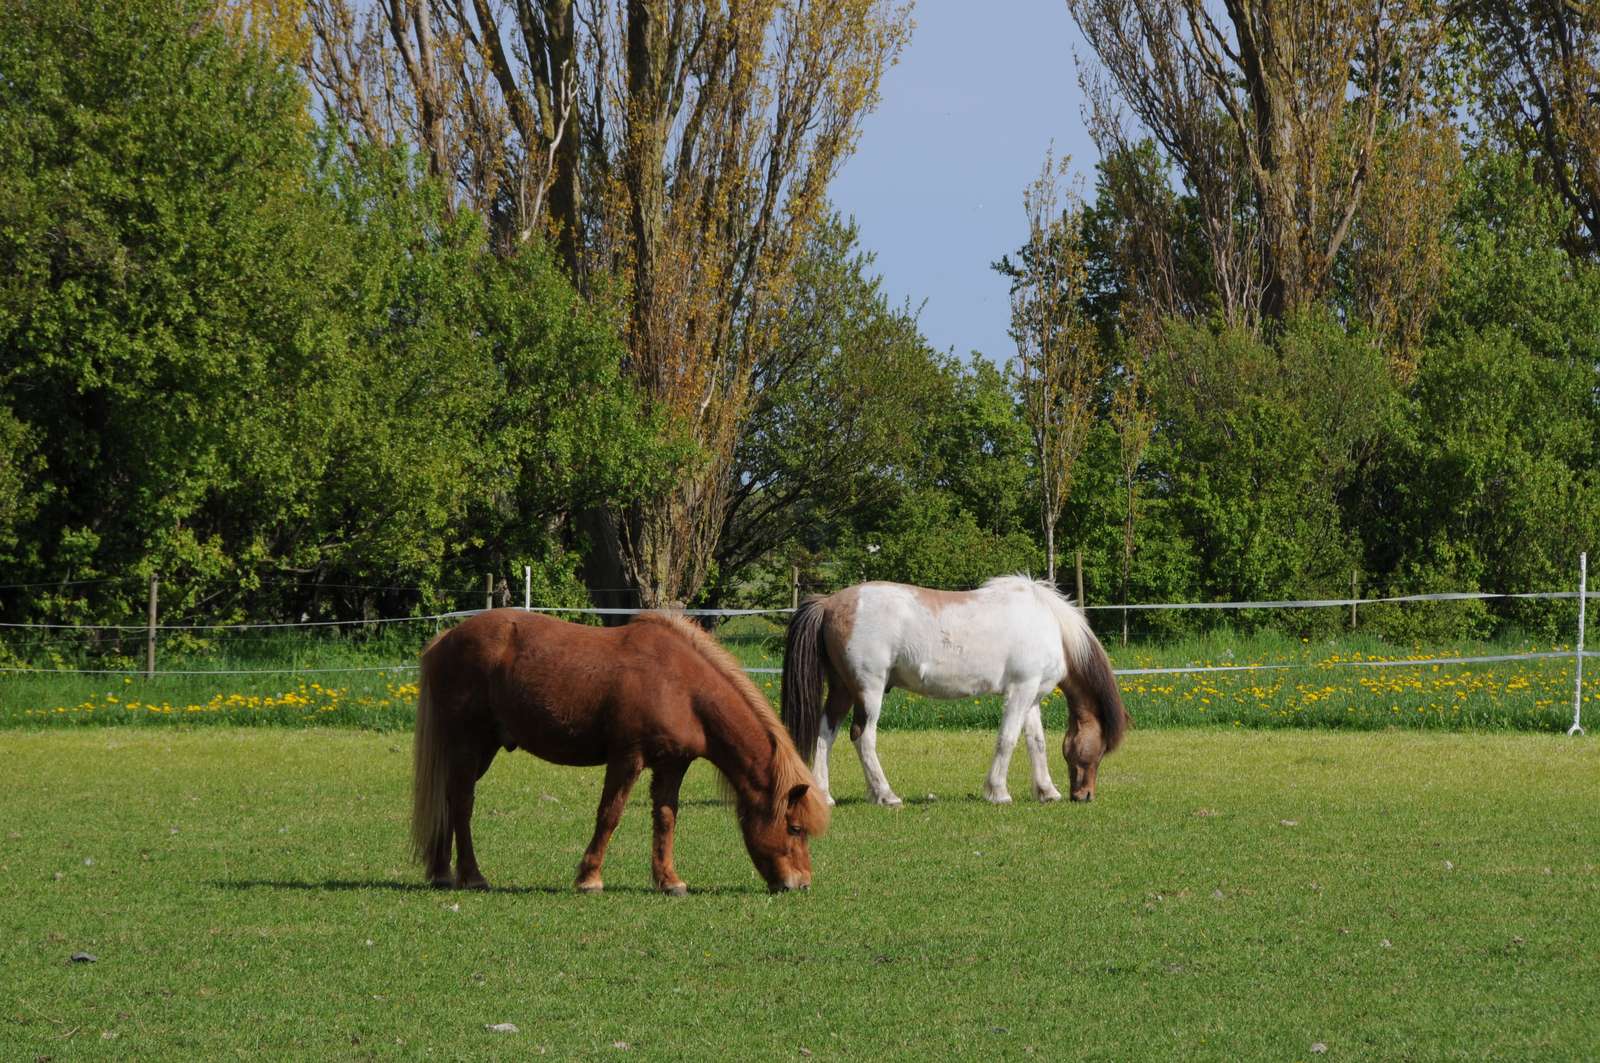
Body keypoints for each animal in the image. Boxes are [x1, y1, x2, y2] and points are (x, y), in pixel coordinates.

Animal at [412, 605, 825, 896]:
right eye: (794, 827)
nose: (801, 883)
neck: (681, 686)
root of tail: (445, 639)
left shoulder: (672, 765)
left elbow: (666, 818)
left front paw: (669, 880)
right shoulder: (627, 757)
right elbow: (610, 815)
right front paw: (589, 878)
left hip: (483, 748)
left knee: (449, 798)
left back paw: (442, 872)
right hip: (469, 743)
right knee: (462, 803)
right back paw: (471, 876)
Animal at [780, 576, 1132, 810]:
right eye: (1101, 748)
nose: (1084, 795)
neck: (1050, 626)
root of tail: (830, 603)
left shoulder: (1030, 694)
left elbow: (1036, 743)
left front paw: (1047, 791)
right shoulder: (1020, 690)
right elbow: (1007, 740)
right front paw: (998, 792)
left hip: (842, 688)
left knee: (826, 733)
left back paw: (825, 795)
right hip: (869, 690)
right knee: (862, 736)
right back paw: (886, 795)